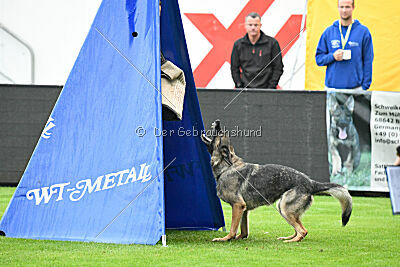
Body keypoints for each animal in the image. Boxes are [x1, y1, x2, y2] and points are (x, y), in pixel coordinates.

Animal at [202, 120, 352, 244]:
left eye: (220, 132)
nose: (218, 122)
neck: (227, 166)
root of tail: (310, 182)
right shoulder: (243, 209)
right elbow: (244, 231)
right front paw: (239, 237)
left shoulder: (238, 205)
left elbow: (233, 227)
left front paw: (225, 238)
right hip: (285, 208)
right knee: (299, 228)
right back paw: (288, 237)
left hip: (284, 207)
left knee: (303, 231)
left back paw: (291, 241)